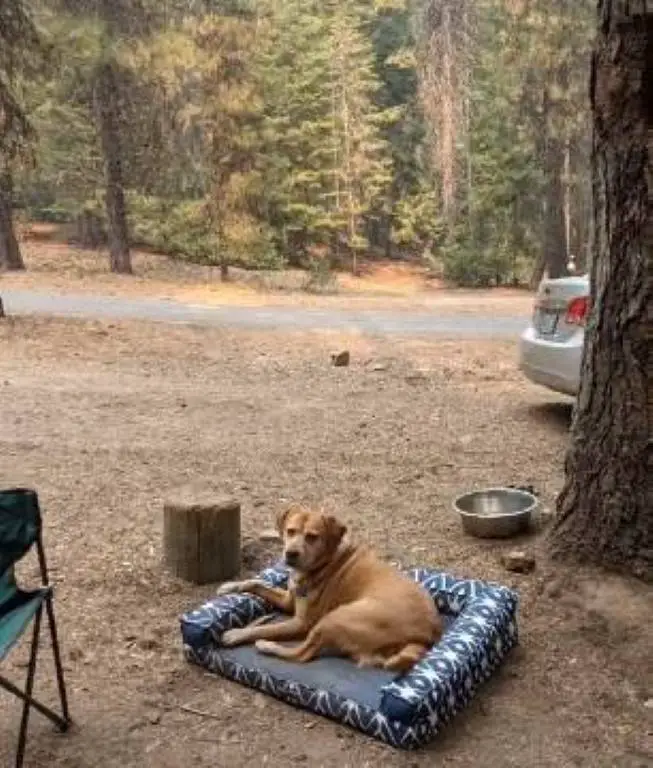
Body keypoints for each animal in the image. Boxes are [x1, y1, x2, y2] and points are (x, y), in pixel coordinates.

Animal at [215, 504, 444, 672]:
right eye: (290, 531)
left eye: (312, 536)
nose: (291, 553)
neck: (323, 563)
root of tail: (429, 633)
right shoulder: (288, 600)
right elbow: (257, 582)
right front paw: (230, 586)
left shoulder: (300, 623)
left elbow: (266, 628)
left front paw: (237, 634)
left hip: (335, 618)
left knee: (302, 654)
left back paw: (267, 646)